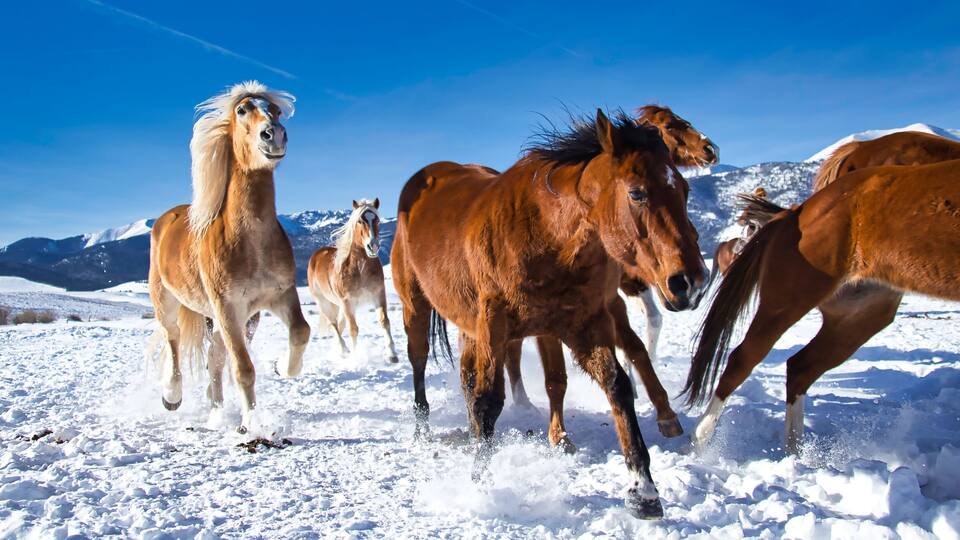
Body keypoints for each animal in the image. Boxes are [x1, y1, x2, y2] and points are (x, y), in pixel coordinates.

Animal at [148, 81, 310, 432]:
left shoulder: (279, 296)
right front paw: (252, 422)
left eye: (276, 111)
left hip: (235, 320)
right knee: (174, 341)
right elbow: (243, 368)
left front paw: (281, 366)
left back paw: (216, 407)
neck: (251, 242)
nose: (274, 135)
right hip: (168, 302)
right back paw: (172, 396)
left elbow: (301, 332)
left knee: (214, 360)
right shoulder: (227, 307)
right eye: (242, 109)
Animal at [306, 198, 398, 362]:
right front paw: (356, 357)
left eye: (377, 220)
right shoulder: (347, 302)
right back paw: (343, 350)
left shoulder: (379, 295)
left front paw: (392, 354)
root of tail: (316, 255)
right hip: (325, 303)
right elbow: (353, 329)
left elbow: (384, 321)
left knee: (339, 325)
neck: (360, 269)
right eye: (360, 221)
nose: (373, 246)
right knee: (333, 324)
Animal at [503, 106, 718, 450]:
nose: (710, 148)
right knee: (513, 350)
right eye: (672, 125)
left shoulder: (619, 292)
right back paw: (522, 402)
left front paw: (660, 406)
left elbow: (639, 340)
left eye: (685, 190)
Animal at [690, 132, 960, 453]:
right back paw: (701, 443)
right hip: (789, 299)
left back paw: (795, 453)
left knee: (800, 366)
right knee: (743, 360)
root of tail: (797, 213)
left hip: (861, 313)